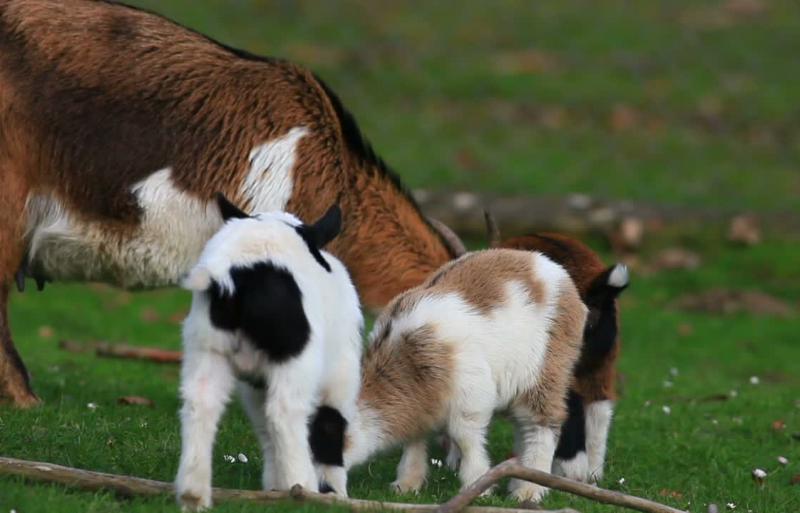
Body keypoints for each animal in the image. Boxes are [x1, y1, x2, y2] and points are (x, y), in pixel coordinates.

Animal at [177, 194, 364, 510]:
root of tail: (235, 277)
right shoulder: (341, 372)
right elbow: (329, 427)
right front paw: (332, 492)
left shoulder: (255, 386)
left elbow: (265, 432)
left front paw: (273, 487)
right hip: (296, 361)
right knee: (285, 414)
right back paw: (301, 490)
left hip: (206, 346)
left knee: (200, 404)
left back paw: (193, 495)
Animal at [472, 212, 628, 484]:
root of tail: (595, 291)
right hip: (601, 360)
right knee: (599, 407)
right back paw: (592, 474)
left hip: (556, 358)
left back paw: (567, 471)